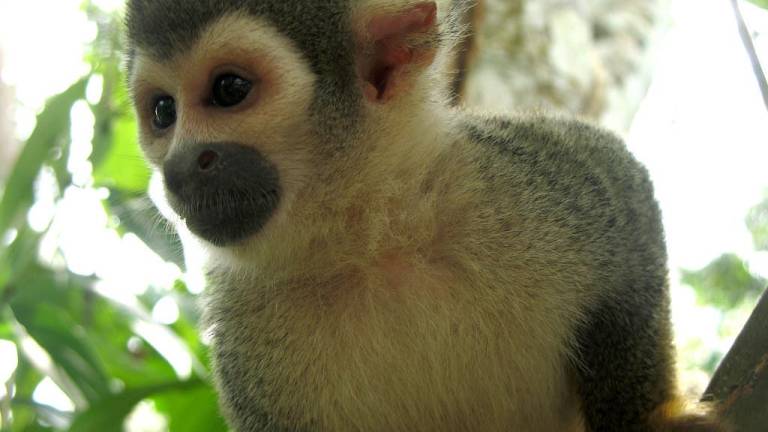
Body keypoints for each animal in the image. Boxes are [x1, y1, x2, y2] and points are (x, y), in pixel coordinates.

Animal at [123, 0, 724, 432]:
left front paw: (645, 419)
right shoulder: (247, 346)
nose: (180, 167)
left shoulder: (515, 182)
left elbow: (623, 196)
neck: (369, 239)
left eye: (229, 89)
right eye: (164, 112)